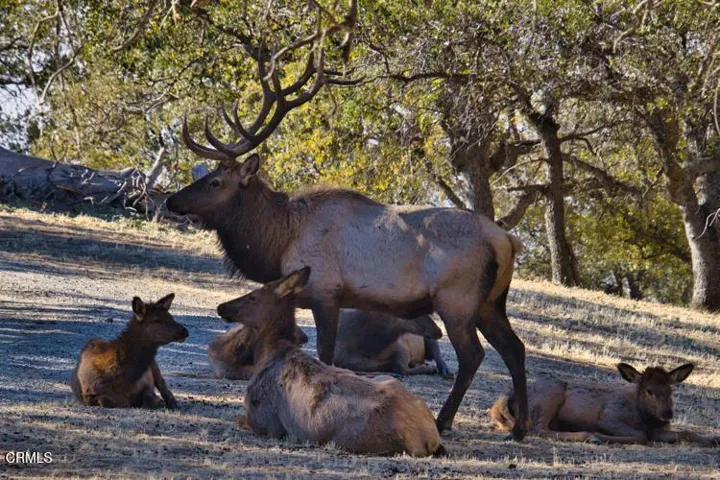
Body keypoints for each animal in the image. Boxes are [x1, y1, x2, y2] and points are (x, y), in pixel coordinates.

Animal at [216, 267, 445, 456]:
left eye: (253, 297)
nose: (221, 306)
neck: (267, 354)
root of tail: (430, 440)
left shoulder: (266, 421)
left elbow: (239, 419)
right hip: (387, 378)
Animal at [490, 363, 720, 447]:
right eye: (649, 390)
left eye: (671, 390)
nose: (668, 413)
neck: (646, 418)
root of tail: (505, 398)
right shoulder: (608, 416)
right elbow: (640, 436)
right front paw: (600, 436)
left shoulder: (660, 430)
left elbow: (686, 432)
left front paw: (712, 439)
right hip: (551, 393)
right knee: (536, 427)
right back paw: (587, 436)